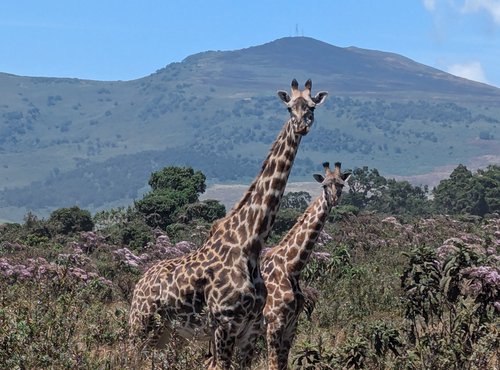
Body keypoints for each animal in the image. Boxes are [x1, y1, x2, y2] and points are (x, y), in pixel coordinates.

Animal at [127, 79, 326, 370]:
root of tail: (139, 282)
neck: (250, 243)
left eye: (312, 106)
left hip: (168, 332)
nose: (302, 124)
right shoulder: (225, 325)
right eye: (290, 107)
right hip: (140, 325)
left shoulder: (250, 330)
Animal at [262, 162, 352, 370]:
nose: (334, 199)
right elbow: (273, 365)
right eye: (324, 185)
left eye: (341, 184)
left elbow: (283, 364)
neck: (291, 267)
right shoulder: (274, 324)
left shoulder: (291, 325)